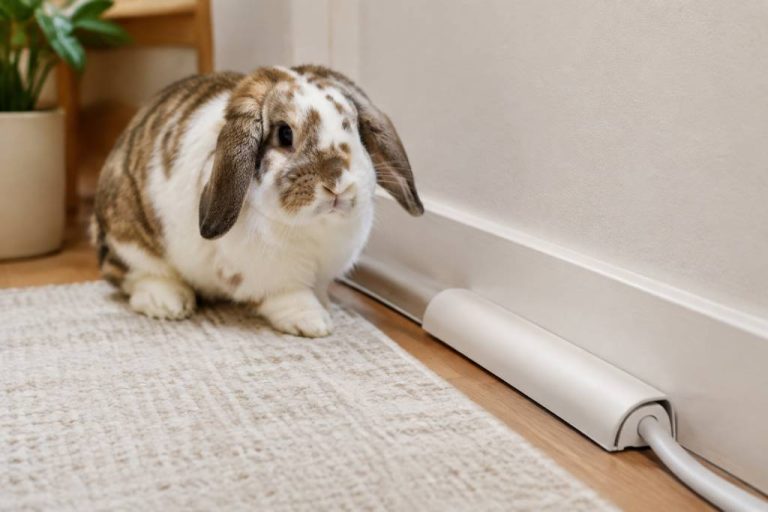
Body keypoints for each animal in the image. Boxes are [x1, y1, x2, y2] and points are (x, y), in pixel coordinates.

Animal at [91, 65, 423, 337]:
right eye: (285, 134)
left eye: (354, 127)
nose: (338, 186)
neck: (314, 226)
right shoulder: (273, 275)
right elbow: (289, 296)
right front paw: (314, 323)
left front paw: (326, 306)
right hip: (131, 237)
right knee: (125, 272)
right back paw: (167, 303)